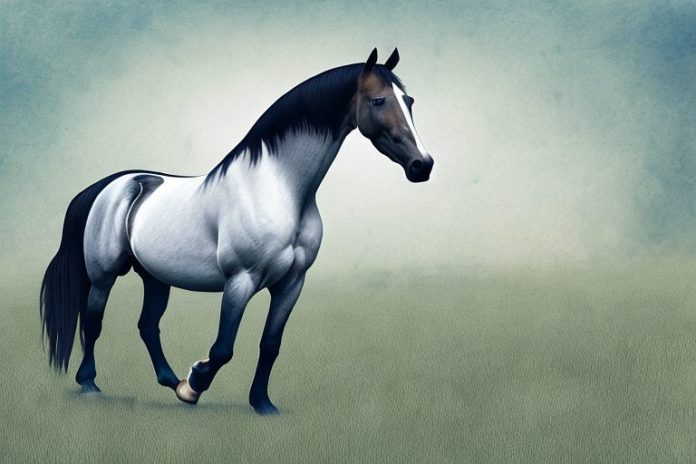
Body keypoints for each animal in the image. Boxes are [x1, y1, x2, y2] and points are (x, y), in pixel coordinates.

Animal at [40, 48, 434, 414]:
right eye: (378, 100)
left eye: (409, 101)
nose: (423, 165)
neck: (279, 188)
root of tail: (112, 184)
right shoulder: (240, 280)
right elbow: (223, 348)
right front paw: (194, 385)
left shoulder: (291, 283)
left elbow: (270, 346)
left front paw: (261, 404)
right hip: (104, 275)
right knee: (93, 322)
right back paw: (91, 383)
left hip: (155, 277)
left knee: (148, 326)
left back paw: (169, 380)